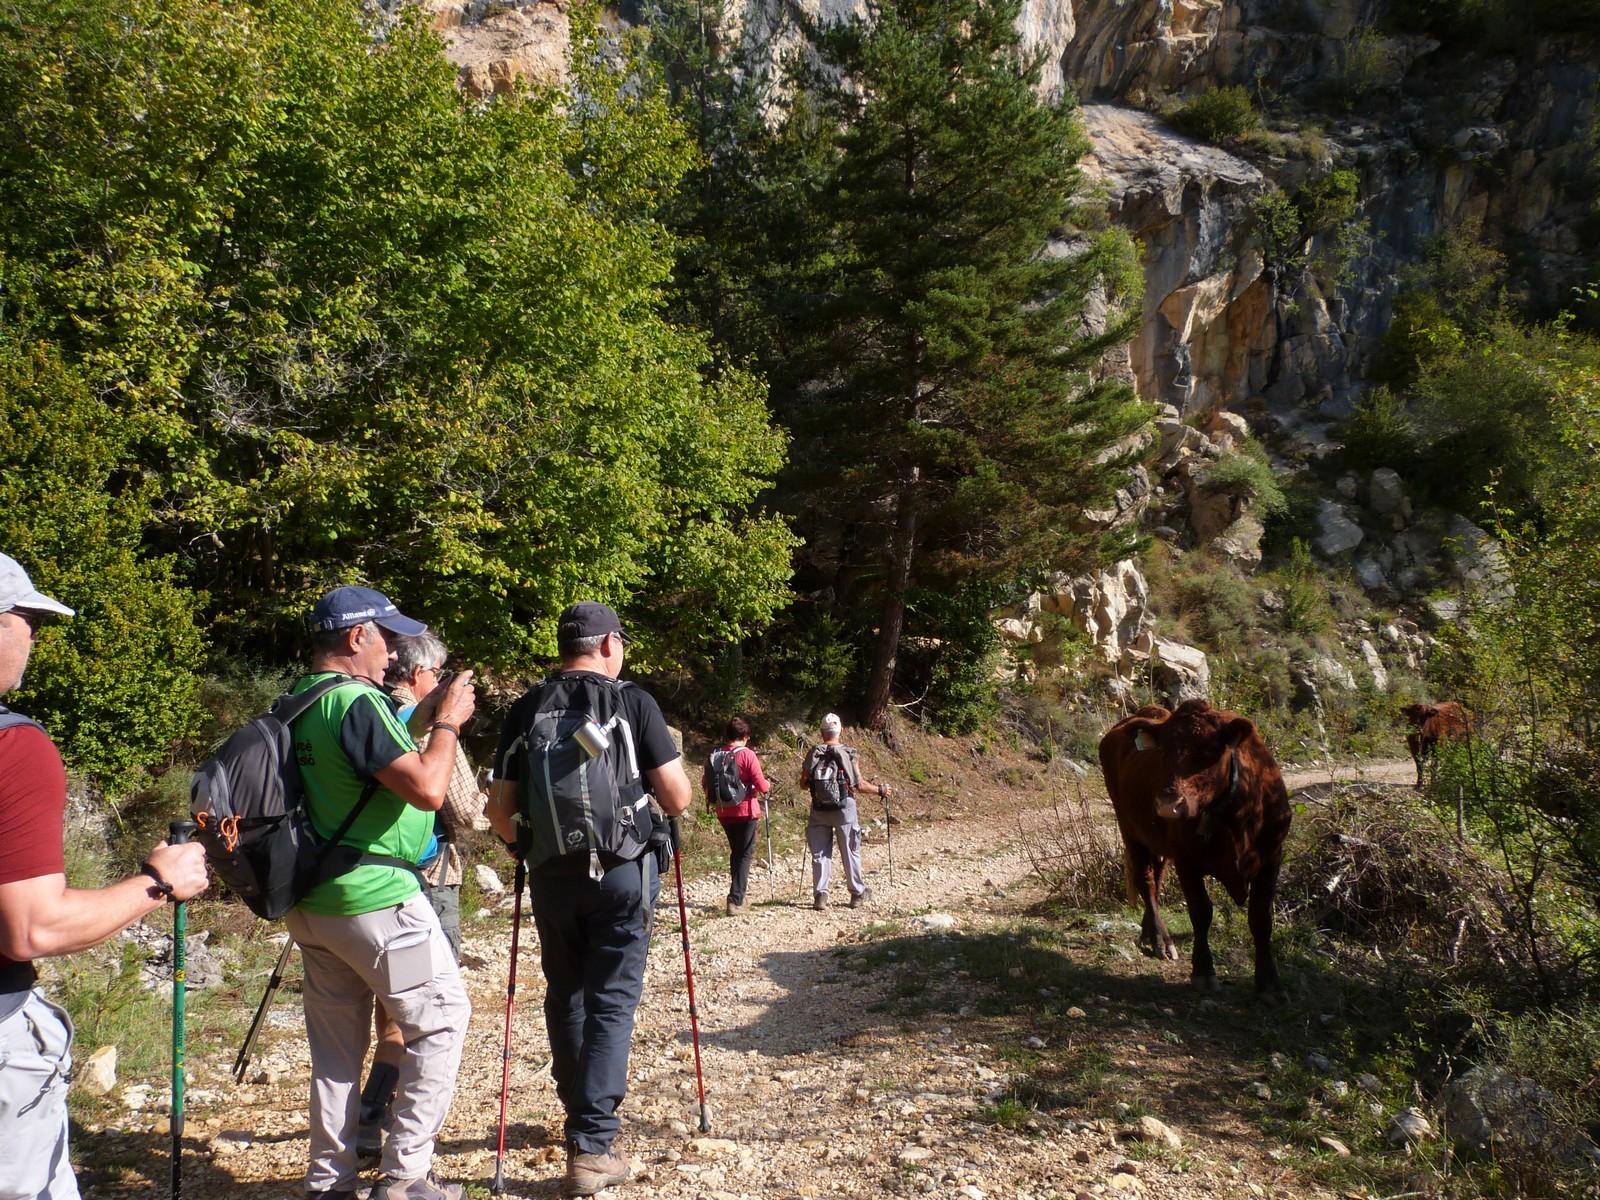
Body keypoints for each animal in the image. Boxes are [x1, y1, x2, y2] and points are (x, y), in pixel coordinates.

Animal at [1099, 699, 1293, 998]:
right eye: (1163, 749)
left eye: (1210, 750)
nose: (1168, 803)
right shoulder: (1187, 861)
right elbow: (1201, 912)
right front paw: (1203, 971)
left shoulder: (1272, 856)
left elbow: (1261, 918)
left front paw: (1269, 983)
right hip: (1130, 831)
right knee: (1146, 881)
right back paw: (1161, 939)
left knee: (1156, 878)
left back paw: (1148, 933)